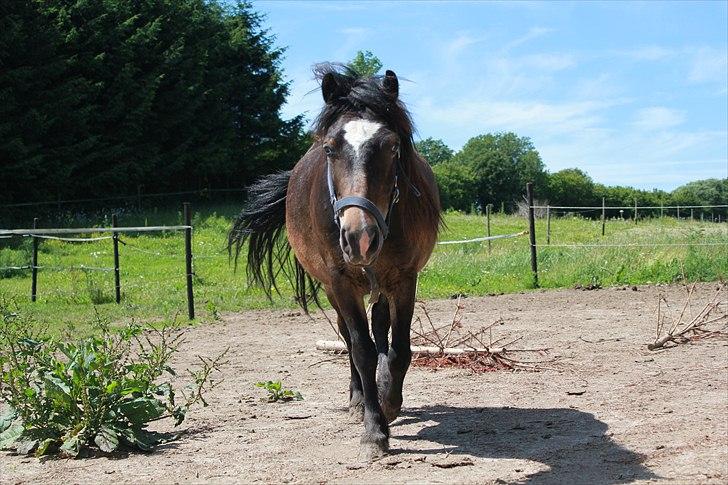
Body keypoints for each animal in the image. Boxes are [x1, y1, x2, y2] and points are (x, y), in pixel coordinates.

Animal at [230, 63, 440, 458]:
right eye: (330, 149)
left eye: (392, 146)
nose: (360, 238)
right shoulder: (341, 281)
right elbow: (361, 350)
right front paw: (373, 429)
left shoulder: (404, 278)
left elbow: (399, 350)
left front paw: (390, 402)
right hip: (333, 288)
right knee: (348, 335)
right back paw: (358, 398)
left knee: (381, 330)